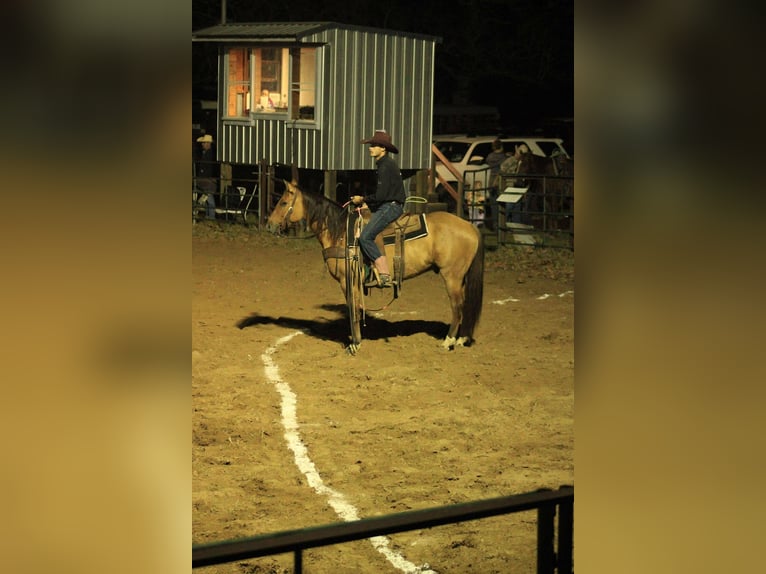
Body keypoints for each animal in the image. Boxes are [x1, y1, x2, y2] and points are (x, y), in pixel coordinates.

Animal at [268, 180, 484, 354]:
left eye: (283, 203)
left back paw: (448, 341)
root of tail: (470, 226)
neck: (340, 232)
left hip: (452, 276)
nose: (269, 225)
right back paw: (462, 338)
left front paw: (355, 343)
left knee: (457, 306)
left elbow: (354, 309)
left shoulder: (347, 281)